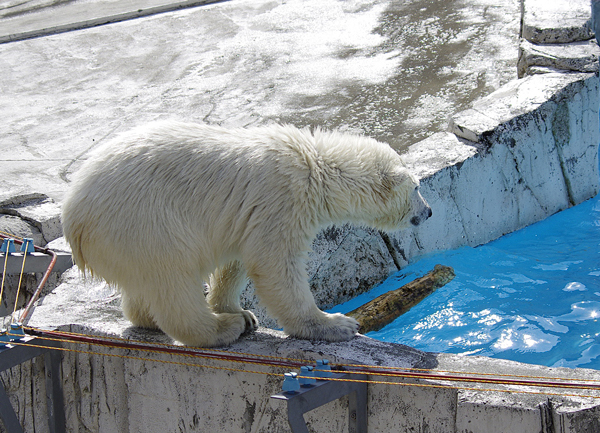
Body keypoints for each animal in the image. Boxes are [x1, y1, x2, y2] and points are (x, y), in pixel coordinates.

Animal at [62, 122, 432, 348]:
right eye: (417, 187)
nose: (428, 212)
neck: (314, 166)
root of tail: (73, 220)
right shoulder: (281, 201)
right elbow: (275, 265)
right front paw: (336, 325)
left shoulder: (249, 215)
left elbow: (237, 261)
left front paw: (239, 309)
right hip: (144, 221)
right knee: (172, 277)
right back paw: (221, 328)